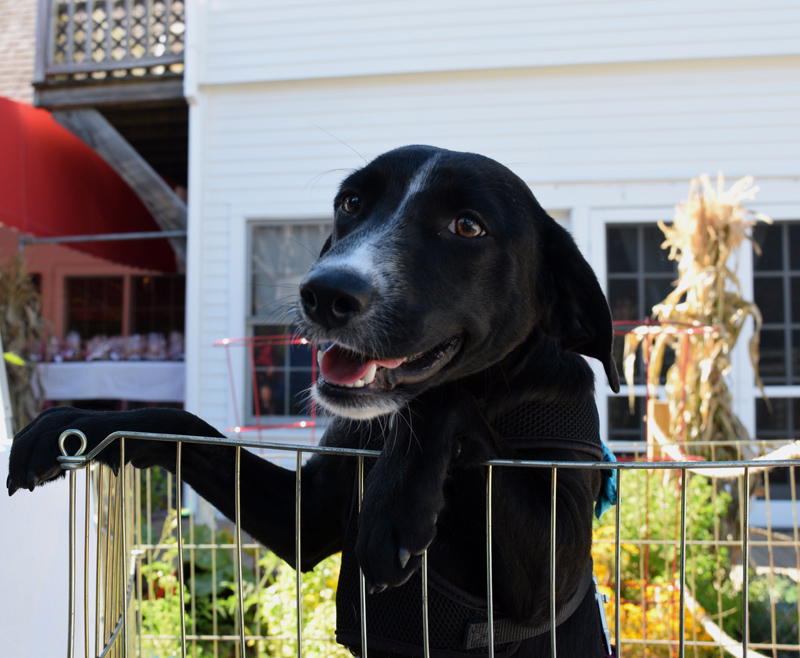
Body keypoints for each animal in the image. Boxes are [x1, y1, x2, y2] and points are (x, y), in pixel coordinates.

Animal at [7, 145, 620, 656]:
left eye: (468, 225)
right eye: (351, 202)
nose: (324, 293)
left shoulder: (553, 576)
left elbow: (441, 400)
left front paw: (395, 503)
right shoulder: (304, 516)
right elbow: (182, 422)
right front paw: (82, 424)